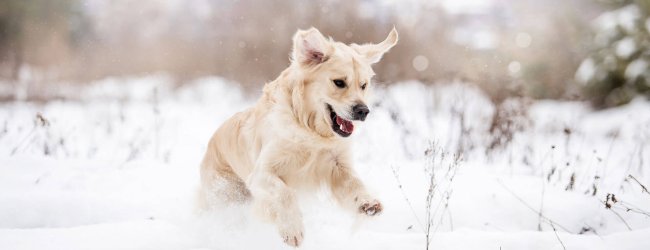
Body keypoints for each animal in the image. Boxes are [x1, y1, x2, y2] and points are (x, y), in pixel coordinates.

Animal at [197, 26, 398, 246]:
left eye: (363, 85)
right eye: (339, 82)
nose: (363, 111)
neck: (311, 131)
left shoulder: (337, 166)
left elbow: (354, 183)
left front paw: (367, 202)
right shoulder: (261, 173)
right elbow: (286, 192)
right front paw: (292, 229)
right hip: (224, 196)